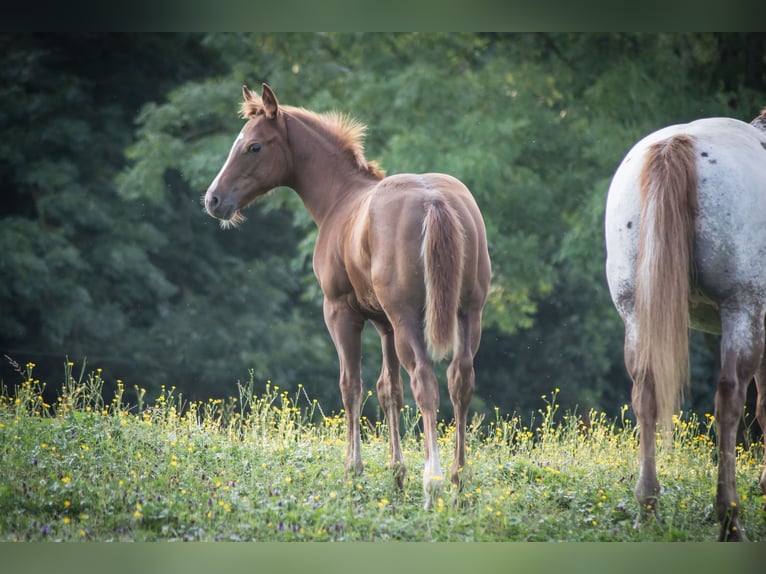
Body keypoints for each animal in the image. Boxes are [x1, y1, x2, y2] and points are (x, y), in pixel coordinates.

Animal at [204, 84, 492, 508]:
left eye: (254, 146)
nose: (214, 200)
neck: (340, 199)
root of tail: (434, 201)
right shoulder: (385, 325)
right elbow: (388, 390)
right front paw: (395, 474)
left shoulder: (341, 312)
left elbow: (351, 386)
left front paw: (353, 471)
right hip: (468, 312)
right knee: (460, 379)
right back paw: (459, 482)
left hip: (408, 318)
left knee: (426, 382)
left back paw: (433, 483)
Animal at [608, 110, 766, 544]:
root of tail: (677, 144)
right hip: (743, 307)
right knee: (730, 396)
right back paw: (729, 518)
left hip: (635, 311)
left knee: (645, 389)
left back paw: (647, 506)